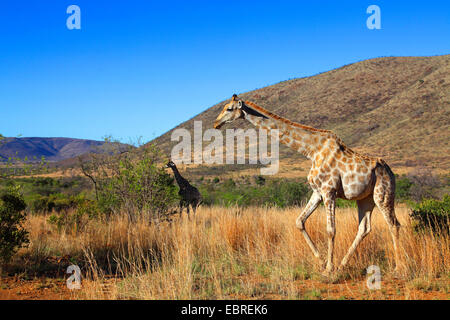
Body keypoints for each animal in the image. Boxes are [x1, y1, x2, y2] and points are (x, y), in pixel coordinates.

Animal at [214, 94, 400, 276]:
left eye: (229, 108)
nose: (216, 123)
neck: (311, 151)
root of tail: (390, 172)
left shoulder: (329, 191)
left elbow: (330, 229)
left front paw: (329, 268)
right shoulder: (317, 192)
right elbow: (299, 221)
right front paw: (322, 261)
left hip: (383, 195)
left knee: (394, 224)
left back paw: (398, 268)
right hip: (365, 199)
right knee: (364, 228)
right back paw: (342, 265)